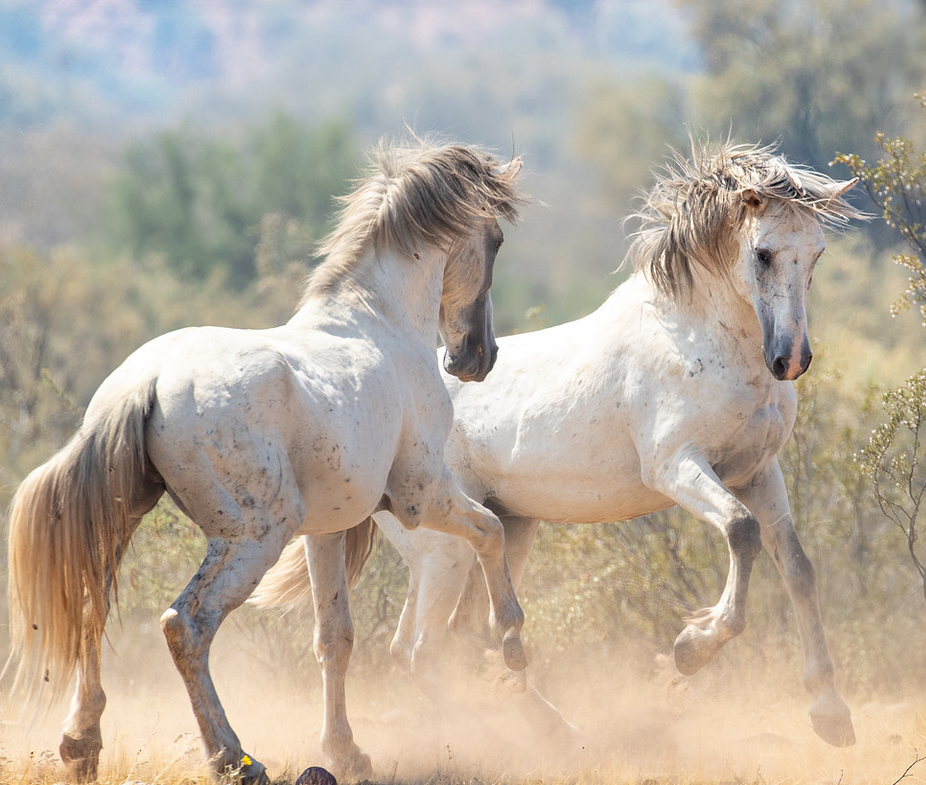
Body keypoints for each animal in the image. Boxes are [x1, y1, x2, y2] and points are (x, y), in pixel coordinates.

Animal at [5, 138, 528, 780]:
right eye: (496, 240)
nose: (477, 357)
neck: (379, 322)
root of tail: (147, 381)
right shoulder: (420, 494)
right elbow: (492, 529)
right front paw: (512, 646)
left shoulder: (328, 530)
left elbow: (335, 637)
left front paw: (347, 752)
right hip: (254, 537)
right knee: (186, 625)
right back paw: (233, 756)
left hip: (128, 519)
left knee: (88, 604)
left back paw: (82, 746)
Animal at [260, 142, 864, 752]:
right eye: (763, 254)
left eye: (816, 254)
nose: (791, 359)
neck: (699, 339)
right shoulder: (677, 468)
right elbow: (741, 532)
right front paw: (691, 648)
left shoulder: (757, 472)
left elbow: (798, 567)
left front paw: (831, 713)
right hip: (443, 548)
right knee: (420, 652)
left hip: (508, 530)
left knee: (473, 637)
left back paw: (560, 735)